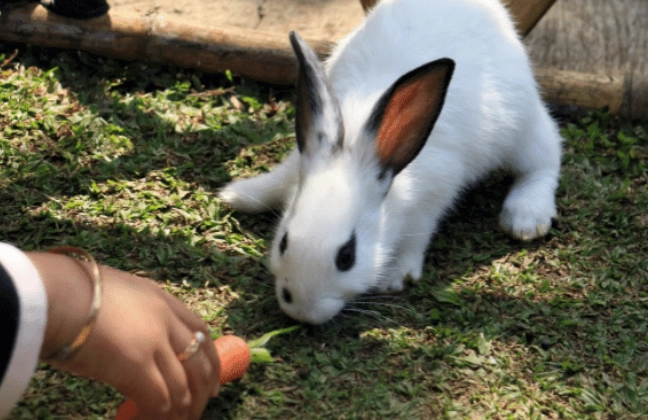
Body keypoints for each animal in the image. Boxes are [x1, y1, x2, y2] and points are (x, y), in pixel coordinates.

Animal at [219, 0, 562, 325]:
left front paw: (395, 275)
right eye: (283, 242)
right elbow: (279, 179)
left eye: (347, 257)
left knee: (546, 156)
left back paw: (526, 217)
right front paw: (239, 194)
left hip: (522, 129)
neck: (356, 143)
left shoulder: (434, 195)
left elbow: (418, 235)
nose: (303, 311)